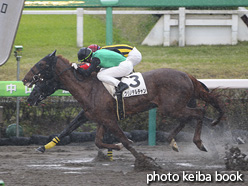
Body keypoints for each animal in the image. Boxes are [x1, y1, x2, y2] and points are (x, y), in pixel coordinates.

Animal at [22, 50, 225, 166]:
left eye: (41, 65)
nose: (25, 81)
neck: (89, 87)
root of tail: (186, 75)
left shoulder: (109, 119)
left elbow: (125, 141)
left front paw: (143, 160)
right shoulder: (101, 118)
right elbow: (96, 140)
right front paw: (43, 147)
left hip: (172, 107)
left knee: (200, 113)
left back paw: (199, 143)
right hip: (176, 106)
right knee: (192, 117)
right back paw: (178, 142)